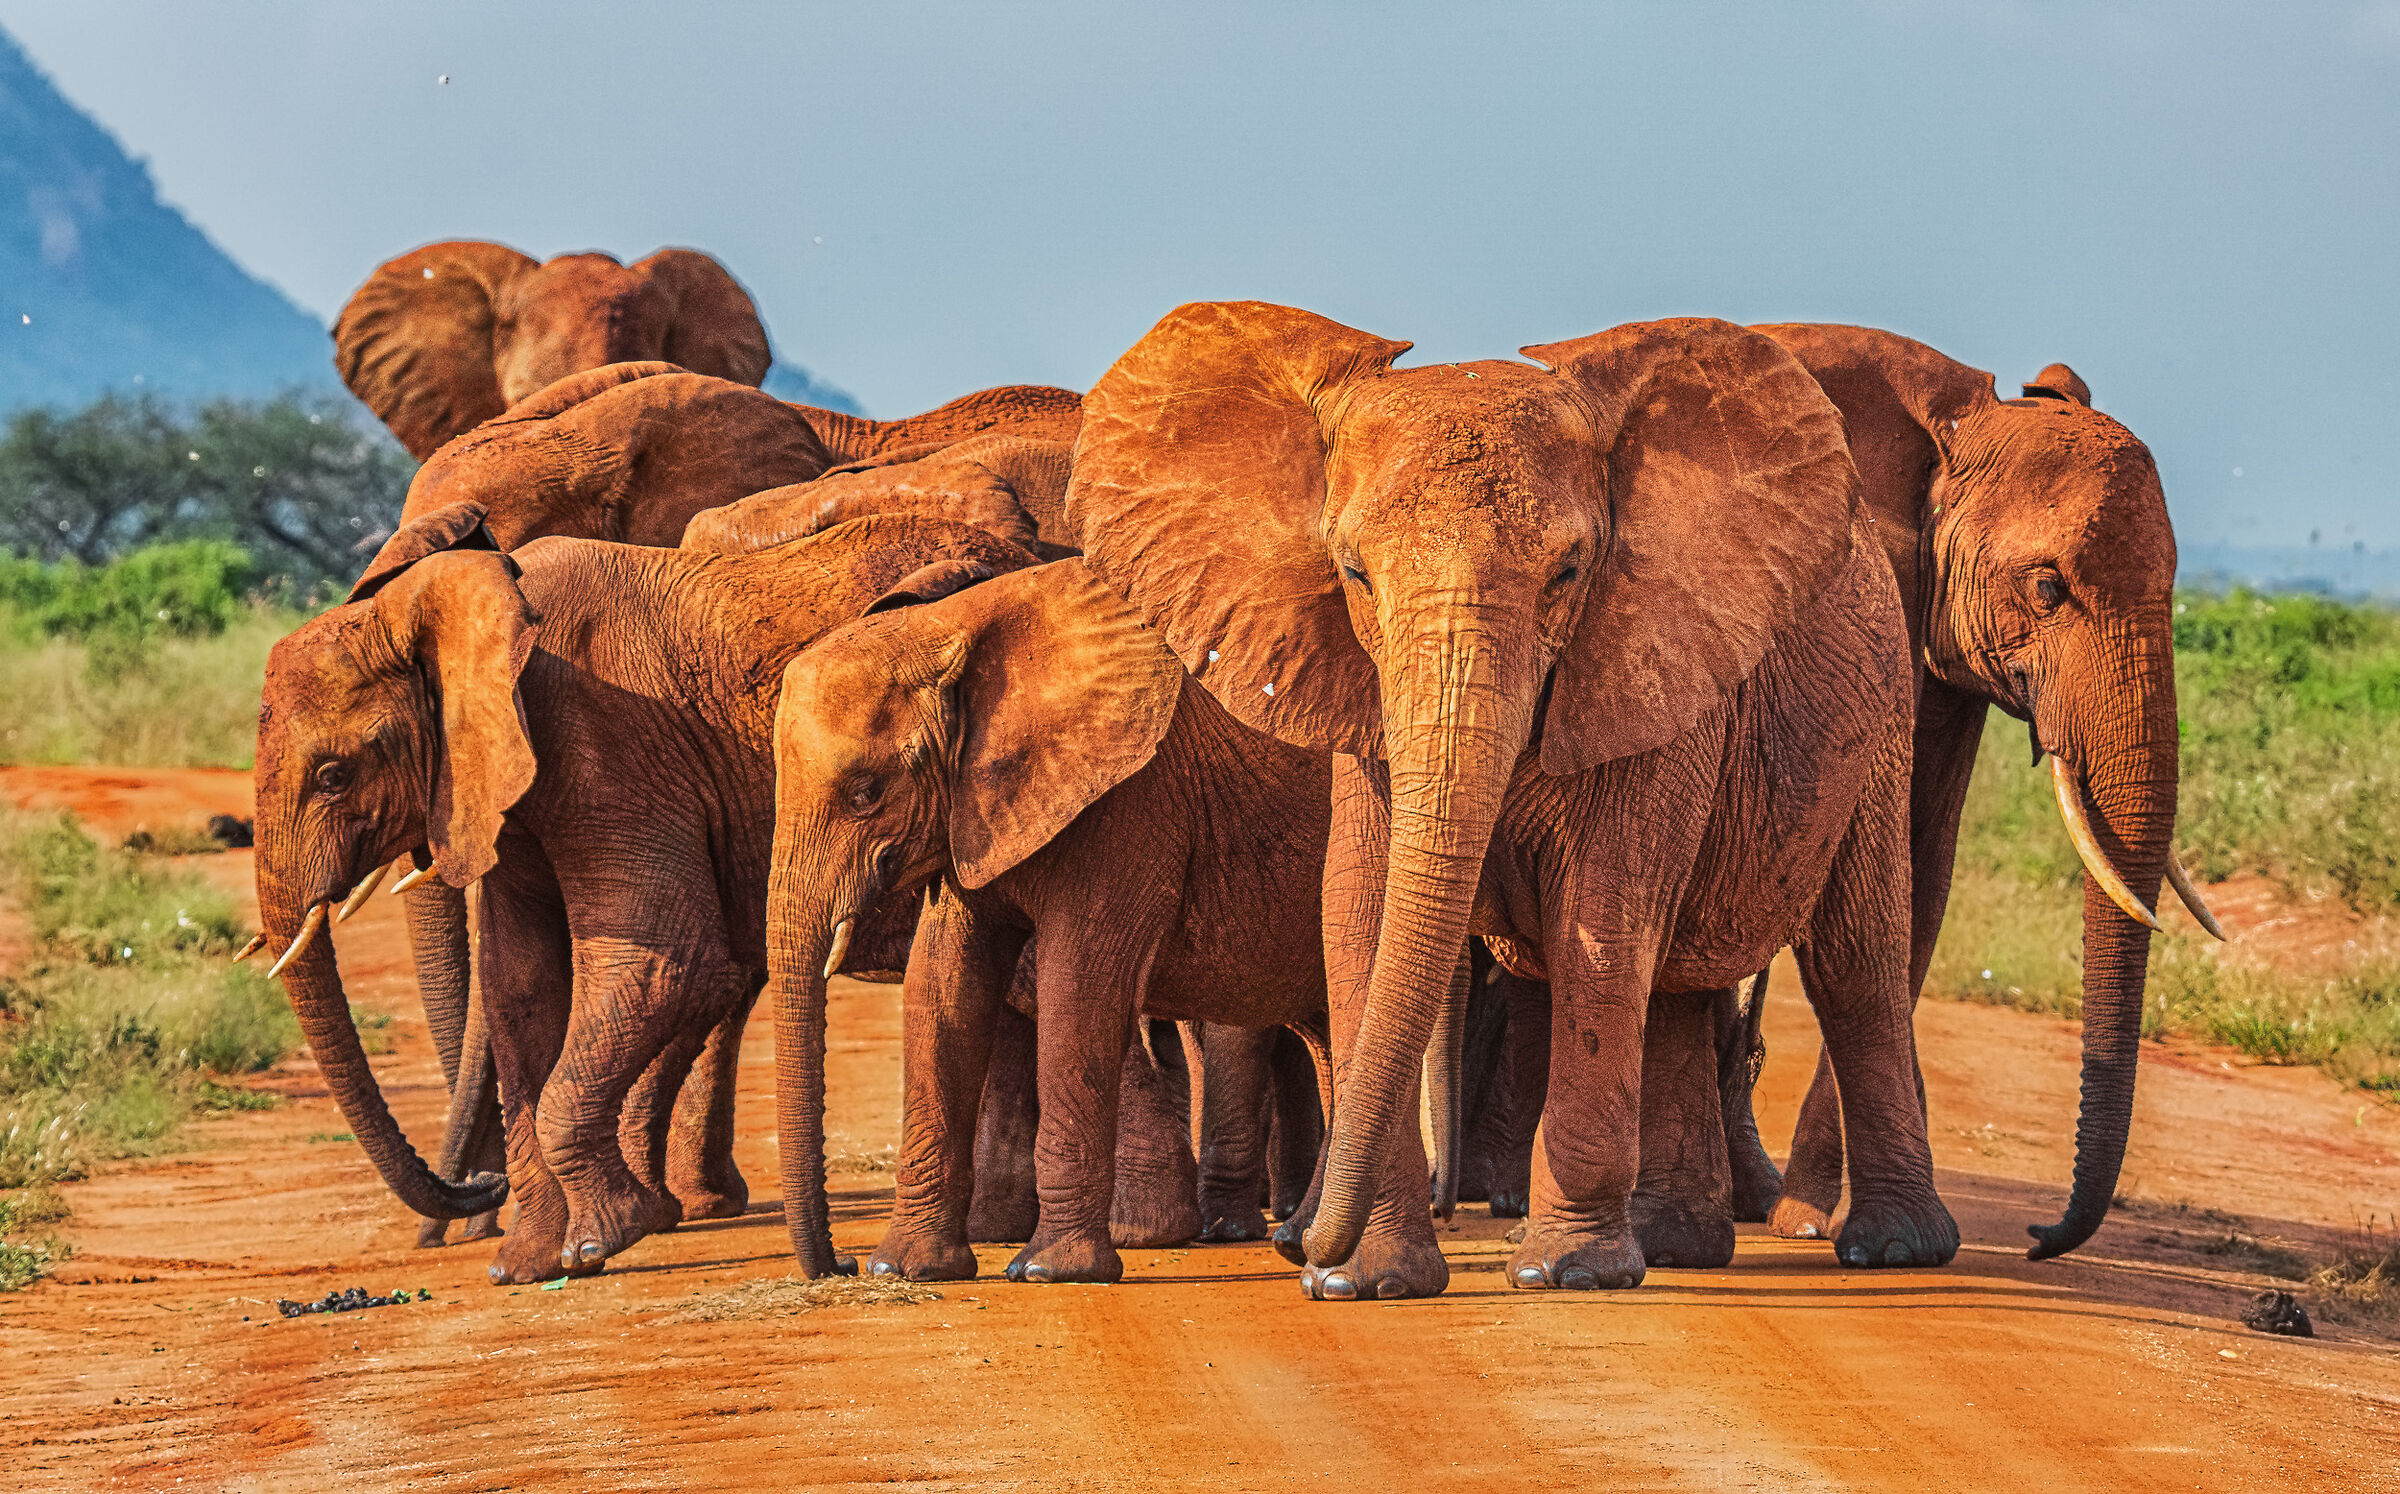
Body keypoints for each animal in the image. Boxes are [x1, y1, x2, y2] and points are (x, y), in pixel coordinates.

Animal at [251, 505, 1035, 1283]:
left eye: (332, 775)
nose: (480, 1185)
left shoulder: (605, 743)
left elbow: (666, 966)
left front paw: (607, 1238)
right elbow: (521, 989)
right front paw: (527, 1267)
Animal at [759, 558, 1335, 1283]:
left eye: (866, 792)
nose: (839, 1265)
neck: (949, 628)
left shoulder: (1132, 798)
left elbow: (1078, 987)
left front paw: (1049, 1271)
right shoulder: (970, 810)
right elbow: (943, 990)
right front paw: (906, 1270)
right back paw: (1300, 1242)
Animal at [1062, 301, 1950, 1300]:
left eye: (1568, 573)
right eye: (1354, 575)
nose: (1296, 1245)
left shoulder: (1647, 657)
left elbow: (1601, 916)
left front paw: (1567, 1273)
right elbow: (1360, 912)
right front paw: (1367, 1283)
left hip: (1881, 713)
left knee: (1855, 960)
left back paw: (1892, 1249)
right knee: (1678, 989)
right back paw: (1677, 1248)